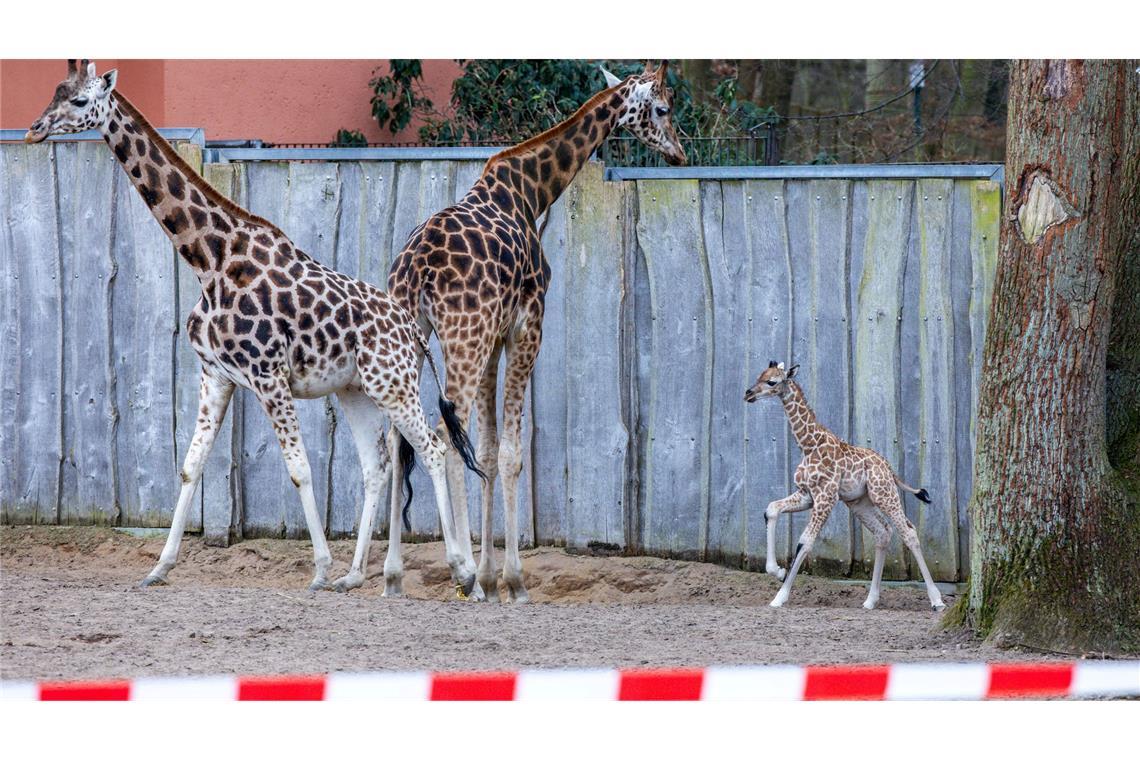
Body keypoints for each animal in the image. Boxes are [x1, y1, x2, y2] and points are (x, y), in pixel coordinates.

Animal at [332, 62, 688, 601]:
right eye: (664, 108)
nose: (680, 152)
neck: (530, 191)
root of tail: (414, 268)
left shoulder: (495, 340)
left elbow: (487, 449)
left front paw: (488, 574)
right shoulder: (526, 329)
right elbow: (510, 454)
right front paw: (509, 582)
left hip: (413, 337)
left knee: (401, 437)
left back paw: (393, 577)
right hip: (462, 338)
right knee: (443, 435)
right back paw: (458, 572)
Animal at [743, 362, 948, 610]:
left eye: (772, 381)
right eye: (759, 376)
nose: (748, 394)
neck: (808, 445)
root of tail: (889, 467)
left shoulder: (826, 497)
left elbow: (805, 542)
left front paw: (779, 597)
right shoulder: (807, 495)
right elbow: (771, 509)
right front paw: (778, 571)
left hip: (884, 494)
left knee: (908, 532)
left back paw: (937, 600)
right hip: (859, 502)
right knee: (883, 532)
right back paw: (870, 600)